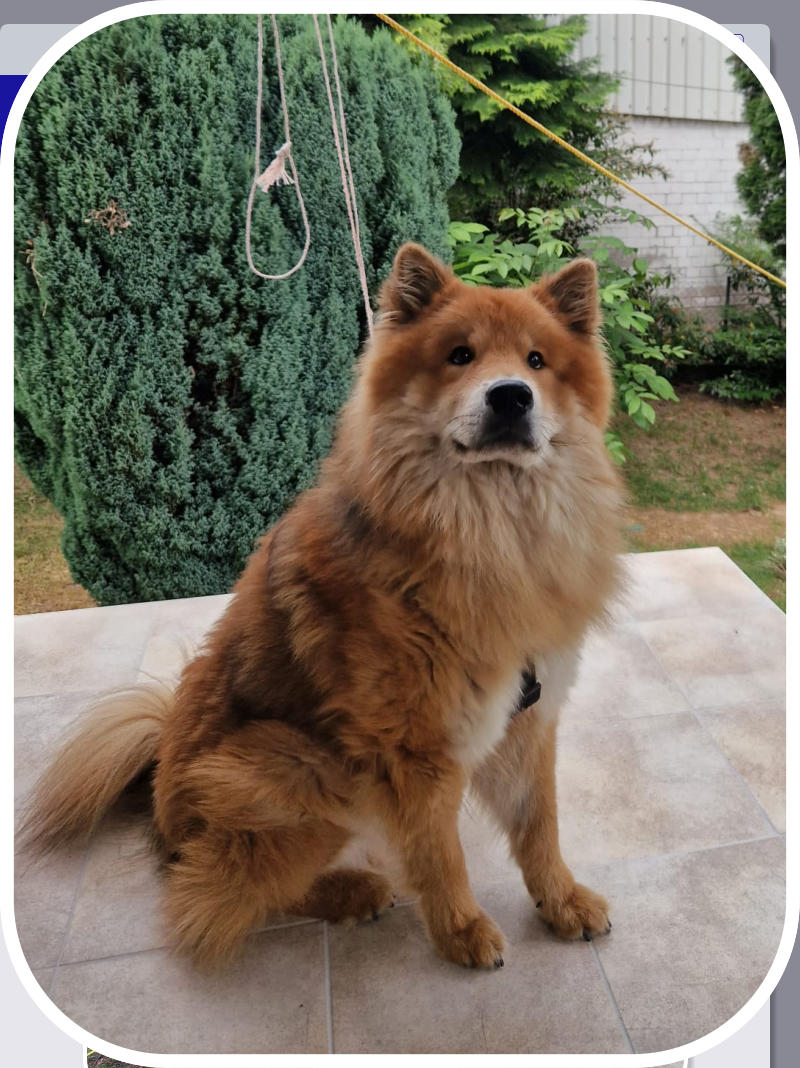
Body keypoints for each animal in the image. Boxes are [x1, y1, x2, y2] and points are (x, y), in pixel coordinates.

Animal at [20, 243, 624, 970]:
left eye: (537, 361)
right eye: (460, 355)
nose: (510, 395)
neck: (494, 532)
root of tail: (163, 796)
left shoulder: (527, 716)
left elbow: (540, 827)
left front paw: (561, 900)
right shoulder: (417, 749)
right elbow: (440, 854)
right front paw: (460, 930)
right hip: (303, 767)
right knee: (220, 891)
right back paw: (351, 890)